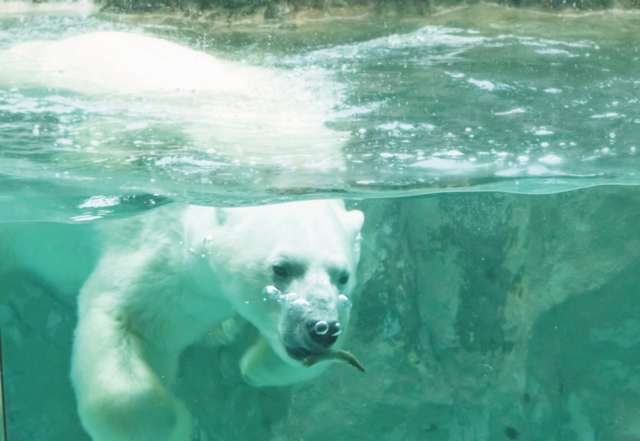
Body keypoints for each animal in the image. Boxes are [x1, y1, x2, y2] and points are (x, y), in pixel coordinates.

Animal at [70, 200, 364, 440]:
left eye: (343, 276)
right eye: (280, 268)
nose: (322, 328)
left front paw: (252, 368)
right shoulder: (154, 261)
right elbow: (117, 319)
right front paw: (174, 426)